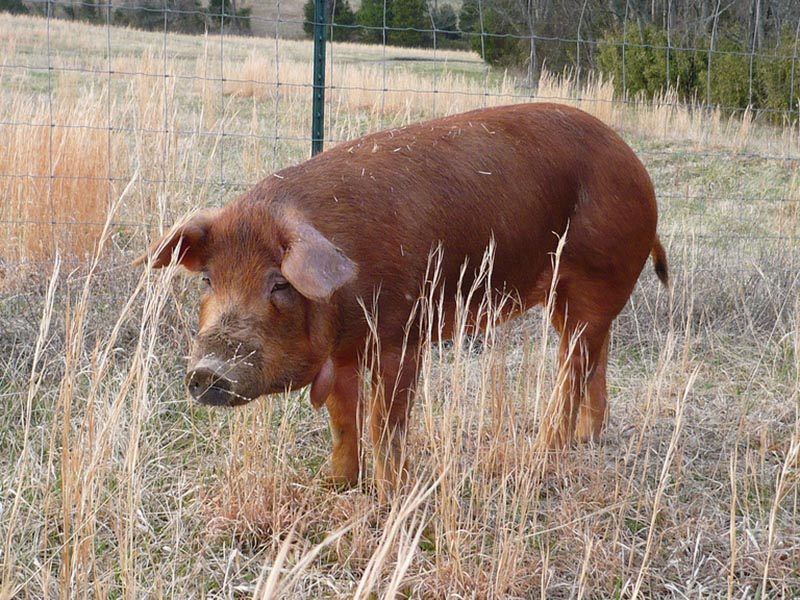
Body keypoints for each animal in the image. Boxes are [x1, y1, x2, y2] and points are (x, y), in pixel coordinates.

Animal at [142, 104, 668, 502]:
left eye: (280, 284)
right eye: (207, 278)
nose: (208, 371)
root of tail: (637, 167)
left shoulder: (400, 335)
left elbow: (384, 424)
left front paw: (391, 495)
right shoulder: (344, 352)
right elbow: (342, 421)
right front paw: (335, 484)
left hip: (594, 276)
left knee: (573, 368)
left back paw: (543, 455)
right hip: (568, 297)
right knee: (595, 357)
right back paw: (587, 438)